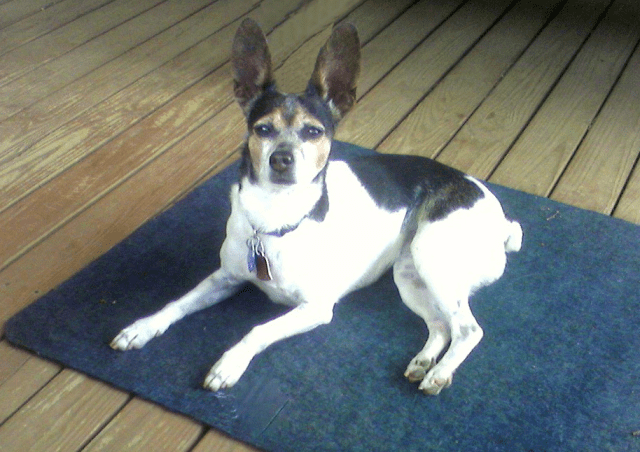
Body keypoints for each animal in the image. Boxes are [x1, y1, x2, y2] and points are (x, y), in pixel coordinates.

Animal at [111, 17, 520, 394]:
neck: (274, 219)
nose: (281, 159)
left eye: (313, 132)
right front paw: (142, 327)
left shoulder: (315, 308)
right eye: (262, 129)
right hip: (408, 275)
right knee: (439, 326)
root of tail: (502, 220)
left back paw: (440, 372)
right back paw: (423, 362)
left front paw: (229, 363)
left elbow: (257, 330)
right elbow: (177, 304)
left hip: (430, 256)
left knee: (467, 329)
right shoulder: (224, 278)